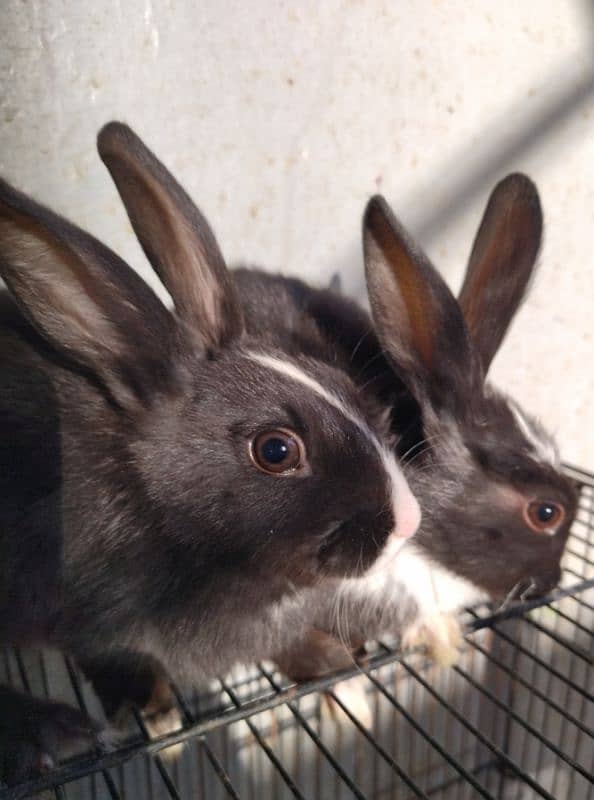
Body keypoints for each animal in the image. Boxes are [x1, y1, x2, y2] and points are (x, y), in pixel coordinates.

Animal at [0, 122, 420, 784]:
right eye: (276, 449)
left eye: (341, 383)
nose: (409, 520)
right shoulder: (104, 624)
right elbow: (126, 668)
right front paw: (157, 721)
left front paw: (340, 672)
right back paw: (53, 733)